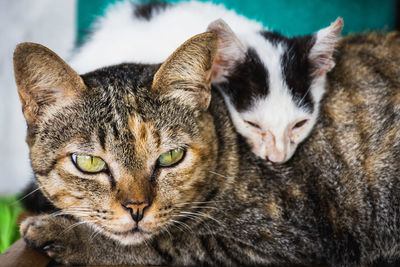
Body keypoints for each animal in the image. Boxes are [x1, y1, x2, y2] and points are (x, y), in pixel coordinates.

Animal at [14, 30, 400, 266]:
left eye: (171, 157)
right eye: (89, 162)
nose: (137, 208)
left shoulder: (285, 245)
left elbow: (171, 245)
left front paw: (61, 233)